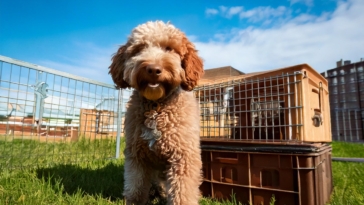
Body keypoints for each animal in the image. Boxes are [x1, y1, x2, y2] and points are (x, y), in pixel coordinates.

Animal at [108, 20, 205, 205]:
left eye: (169, 48)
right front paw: (134, 201)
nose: (153, 69)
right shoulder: (137, 154)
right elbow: (136, 185)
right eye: (139, 49)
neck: (156, 106)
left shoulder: (183, 155)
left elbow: (182, 191)